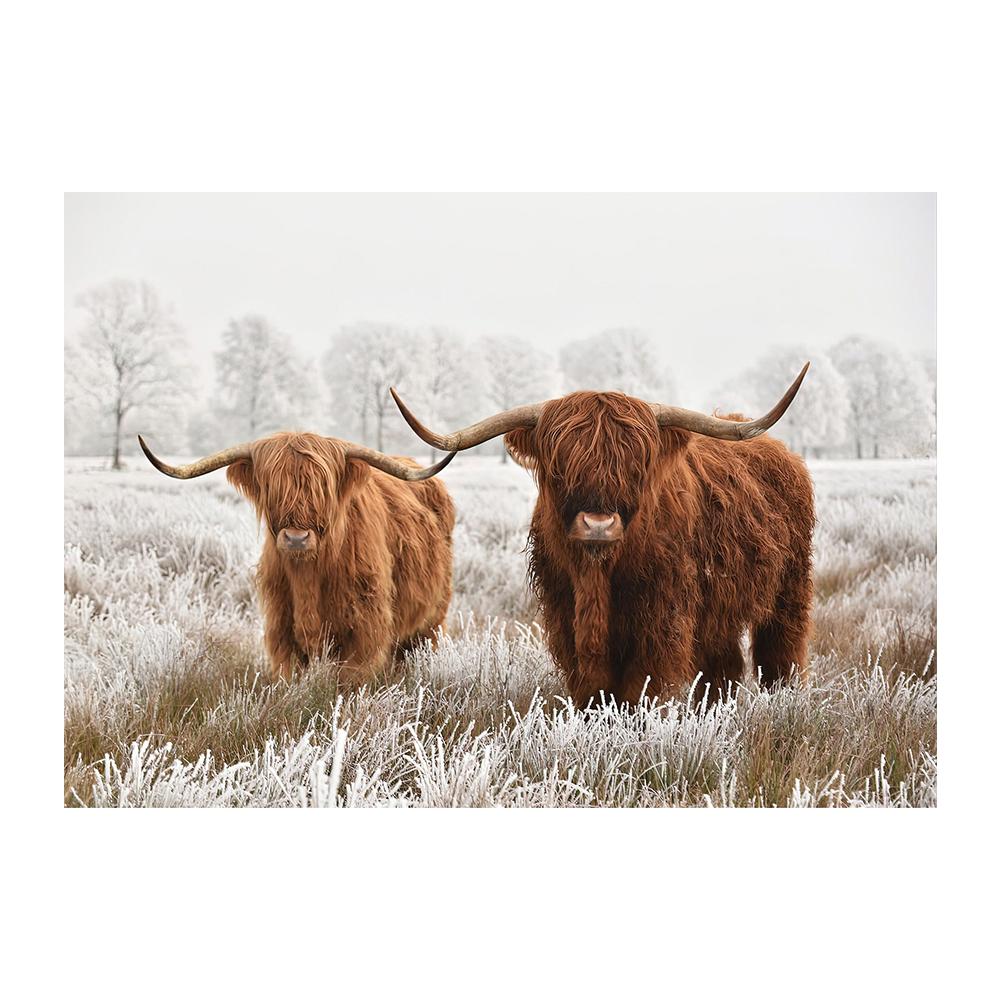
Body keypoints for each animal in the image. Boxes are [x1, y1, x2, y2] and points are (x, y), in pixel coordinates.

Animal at [138, 431, 456, 684]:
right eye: (271, 487)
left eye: (322, 488)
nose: (296, 538)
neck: (308, 576)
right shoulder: (281, 629)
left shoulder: (364, 631)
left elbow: (350, 681)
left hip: (431, 620)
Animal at [390, 365, 814, 706]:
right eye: (560, 465)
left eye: (636, 465)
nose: (597, 524)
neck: (597, 577)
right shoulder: (565, 617)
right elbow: (592, 691)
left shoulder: (662, 621)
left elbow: (640, 690)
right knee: (723, 666)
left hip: (789, 591)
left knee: (780, 653)